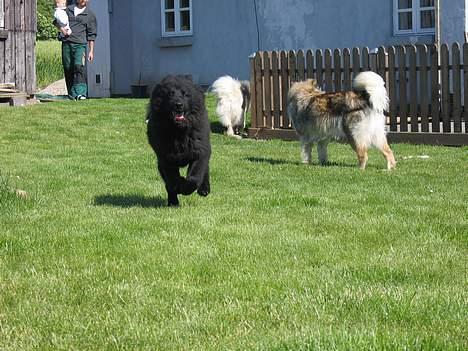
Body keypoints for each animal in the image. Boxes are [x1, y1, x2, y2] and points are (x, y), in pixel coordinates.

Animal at [147, 74, 211, 206]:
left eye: (185, 94)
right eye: (170, 94)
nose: (178, 104)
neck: (179, 132)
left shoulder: (199, 151)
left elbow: (195, 177)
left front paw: (185, 187)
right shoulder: (165, 157)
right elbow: (172, 180)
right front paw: (178, 187)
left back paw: (204, 189)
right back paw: (173, 202)